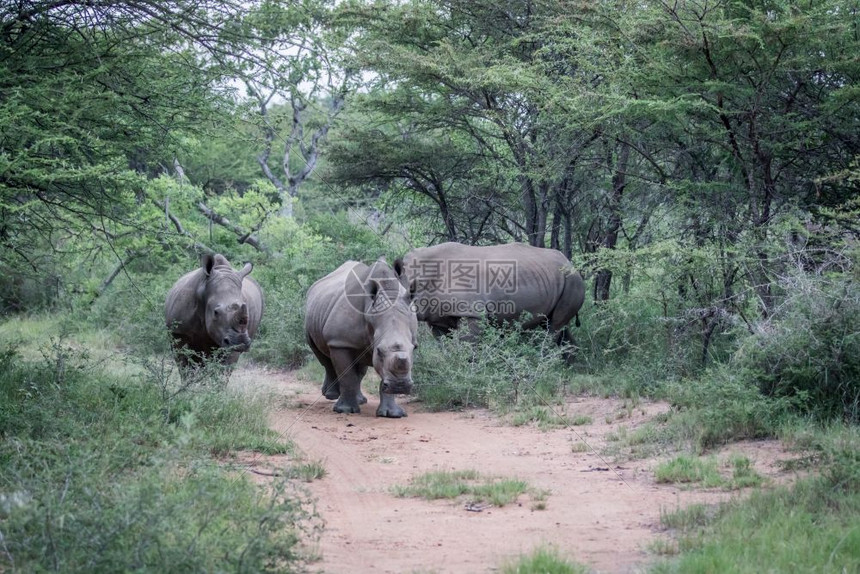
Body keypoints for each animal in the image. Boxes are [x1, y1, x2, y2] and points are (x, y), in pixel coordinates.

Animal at [304, 260, 418, 418]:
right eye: (379, 351)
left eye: (414, 349)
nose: (400, 386)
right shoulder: (340, 342)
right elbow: (347, 375)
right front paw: (345, 410)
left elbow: (382, 372)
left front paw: (392, 414)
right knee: (322, 356)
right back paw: (331, 396)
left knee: (360, 368)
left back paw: (360, 400)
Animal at [398, 242, 584, 344]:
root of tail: (570, 263)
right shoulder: (437, 315)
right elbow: (443, 342)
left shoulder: (471, 311)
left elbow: (468, 343)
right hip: (559, 279)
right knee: (556, 325)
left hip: (572, 280)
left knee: (554, 326)